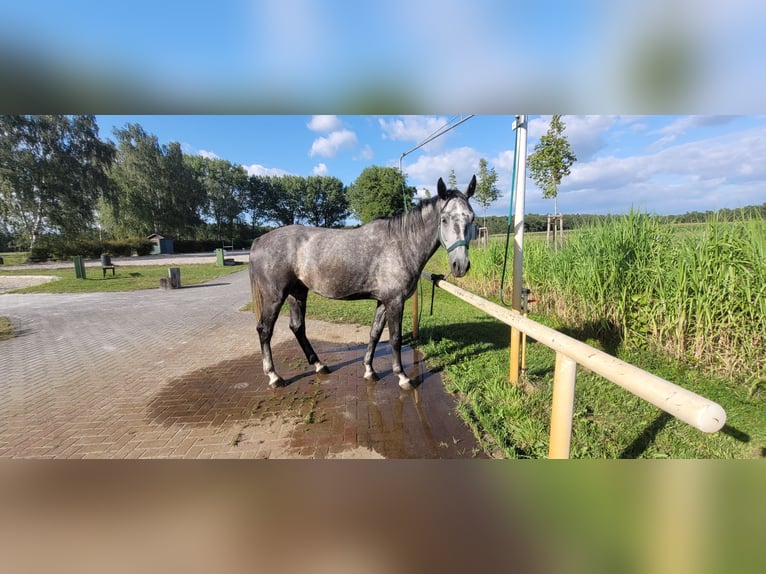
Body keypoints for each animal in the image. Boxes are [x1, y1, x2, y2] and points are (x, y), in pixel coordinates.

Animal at [249, 175, 476, 390]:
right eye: (444, 219)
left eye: (471, 217)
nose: (460, 265)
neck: (402, 243)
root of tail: (258, 241)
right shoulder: (395, 302)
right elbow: (395, 338)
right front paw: (402, 377)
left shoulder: (383, 301)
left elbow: (374, 334)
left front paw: (369, 370)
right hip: (275, 297)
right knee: (265, 330)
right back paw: (274, 376)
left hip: (297, 292)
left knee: (297, 327)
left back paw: (319, 365)